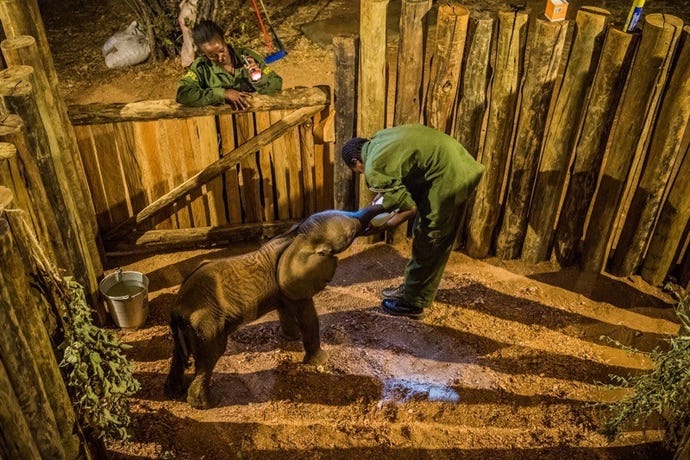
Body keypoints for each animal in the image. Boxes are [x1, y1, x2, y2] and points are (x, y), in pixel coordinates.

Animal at [163, 207, 376, 408]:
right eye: (352, 232)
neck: (299, 234)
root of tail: (178, 308)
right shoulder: (300, 281)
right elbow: (308, 316)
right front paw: (322, 360)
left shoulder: (283, 287)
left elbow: (285, 308)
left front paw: (290, 339)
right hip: (207, 324)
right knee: (210, 356)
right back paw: (209, 404)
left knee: (179, 355)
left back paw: (173, 393)